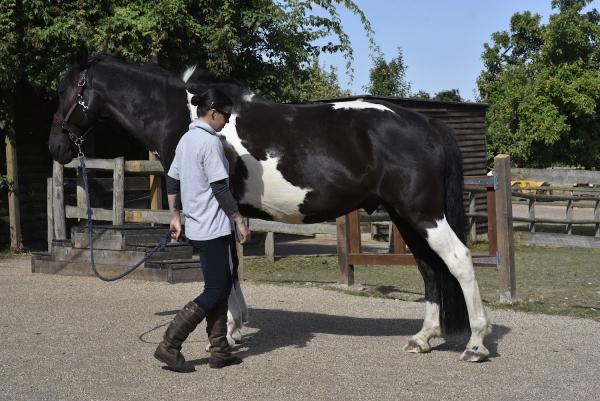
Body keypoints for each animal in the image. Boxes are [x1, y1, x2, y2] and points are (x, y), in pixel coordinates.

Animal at [49, 45, 492, 360]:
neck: (188, 117)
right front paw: (233, 328)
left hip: (423, 214)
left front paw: (226, 333)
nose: (56, 147)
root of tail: (428, 124)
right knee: (430, 269)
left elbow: (223, 271)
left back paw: (475, 344)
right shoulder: (230, 213)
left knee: (458, 261)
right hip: (405, 216)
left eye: (67, 90)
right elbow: (230, 269)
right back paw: (423, 338)